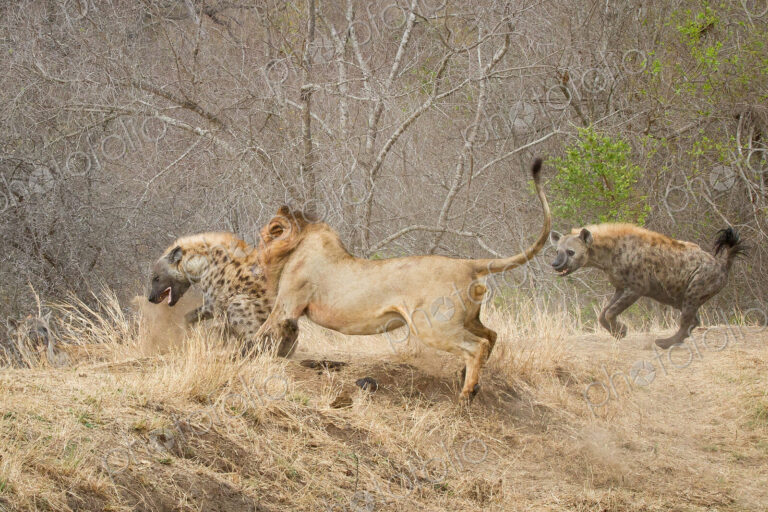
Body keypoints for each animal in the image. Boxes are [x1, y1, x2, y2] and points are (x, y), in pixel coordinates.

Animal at [255, 159, 551, 403]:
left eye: (265, 234)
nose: (254, 255)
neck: (300, 242)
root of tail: (466, 264)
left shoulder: (287, 306)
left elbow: (261, 332)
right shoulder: (289, 312)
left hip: (431, 326)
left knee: (477, 345)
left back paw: (467, 392)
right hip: (465, 319)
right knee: (491, 335)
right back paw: (467, 378)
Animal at [550, 224, 745, 348]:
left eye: (570, 252)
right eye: (557, 251)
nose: (555, 264)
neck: (609, 254)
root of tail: (722, 264)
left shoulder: (637, 288)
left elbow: (611, 311)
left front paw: (621, 331)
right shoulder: (620, 287)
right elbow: (603, 313)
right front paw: (618, 331)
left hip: (696, 286)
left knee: (687, 319)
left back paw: (665, 342)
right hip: (678, 297)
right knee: (693, 319)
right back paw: (674, 341)